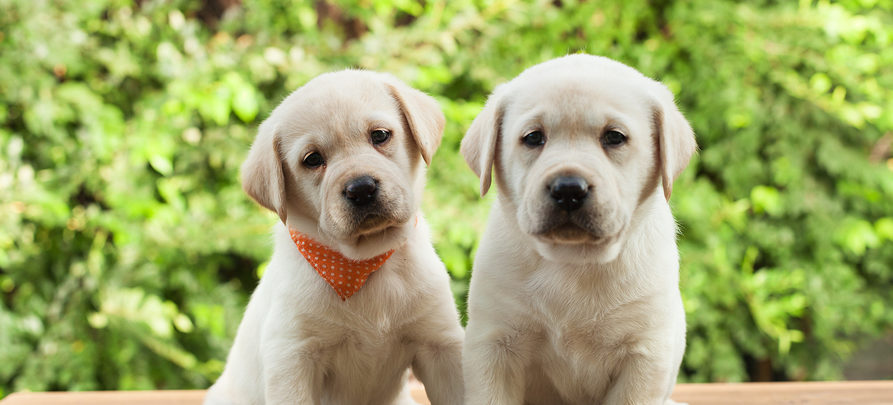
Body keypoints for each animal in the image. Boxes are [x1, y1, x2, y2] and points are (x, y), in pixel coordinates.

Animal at [205, 71, 464, 404]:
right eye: (312, 159)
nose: (362, 188)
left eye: (380, 135)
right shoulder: (292, 358)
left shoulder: (440, 343)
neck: (364, 264)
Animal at [460, 54, 696, 404]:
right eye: (533, 138)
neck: (573, 261)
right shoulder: (494, 344)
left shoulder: (645, 354)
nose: (568, 189)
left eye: (614, 137)